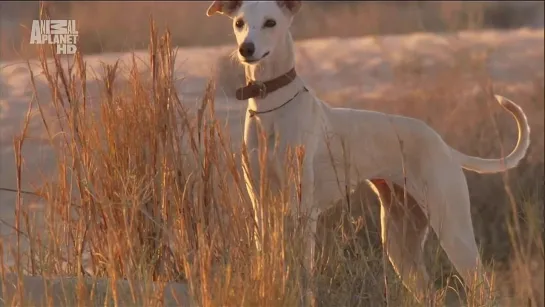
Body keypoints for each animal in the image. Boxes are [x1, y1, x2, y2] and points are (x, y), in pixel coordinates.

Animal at [204, 0, 528, 304]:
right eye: (239, 23)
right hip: (401, 242)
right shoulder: (261, 205)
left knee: (484, 287)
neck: (271, 108)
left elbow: (302, 273)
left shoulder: (303, 211)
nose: (246, 49)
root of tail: (444, 146)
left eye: (270, 22)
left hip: (452, 230)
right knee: (429, 293)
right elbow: (266, 262)